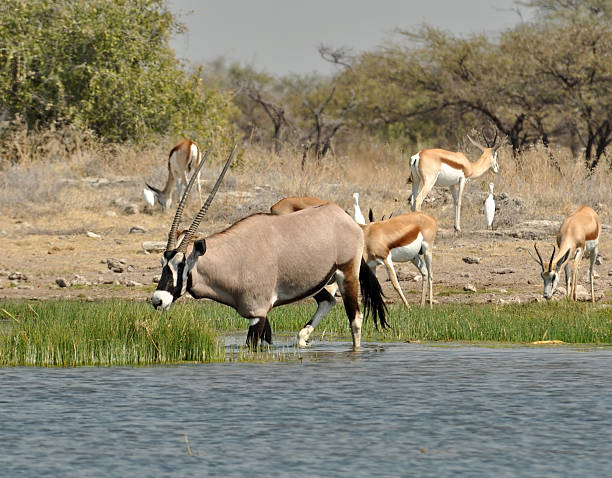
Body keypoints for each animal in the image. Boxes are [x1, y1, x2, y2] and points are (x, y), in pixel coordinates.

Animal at [152, 155, 388, 350]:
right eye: (163, 263)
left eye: (181, 265)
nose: (157, 300)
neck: (234, 257)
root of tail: (347, 219)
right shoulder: (263, 314)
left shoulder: (257, 313)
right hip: (317, 282)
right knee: (328, 301)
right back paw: (302, 338)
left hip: (347, 274)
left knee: (355, 319)